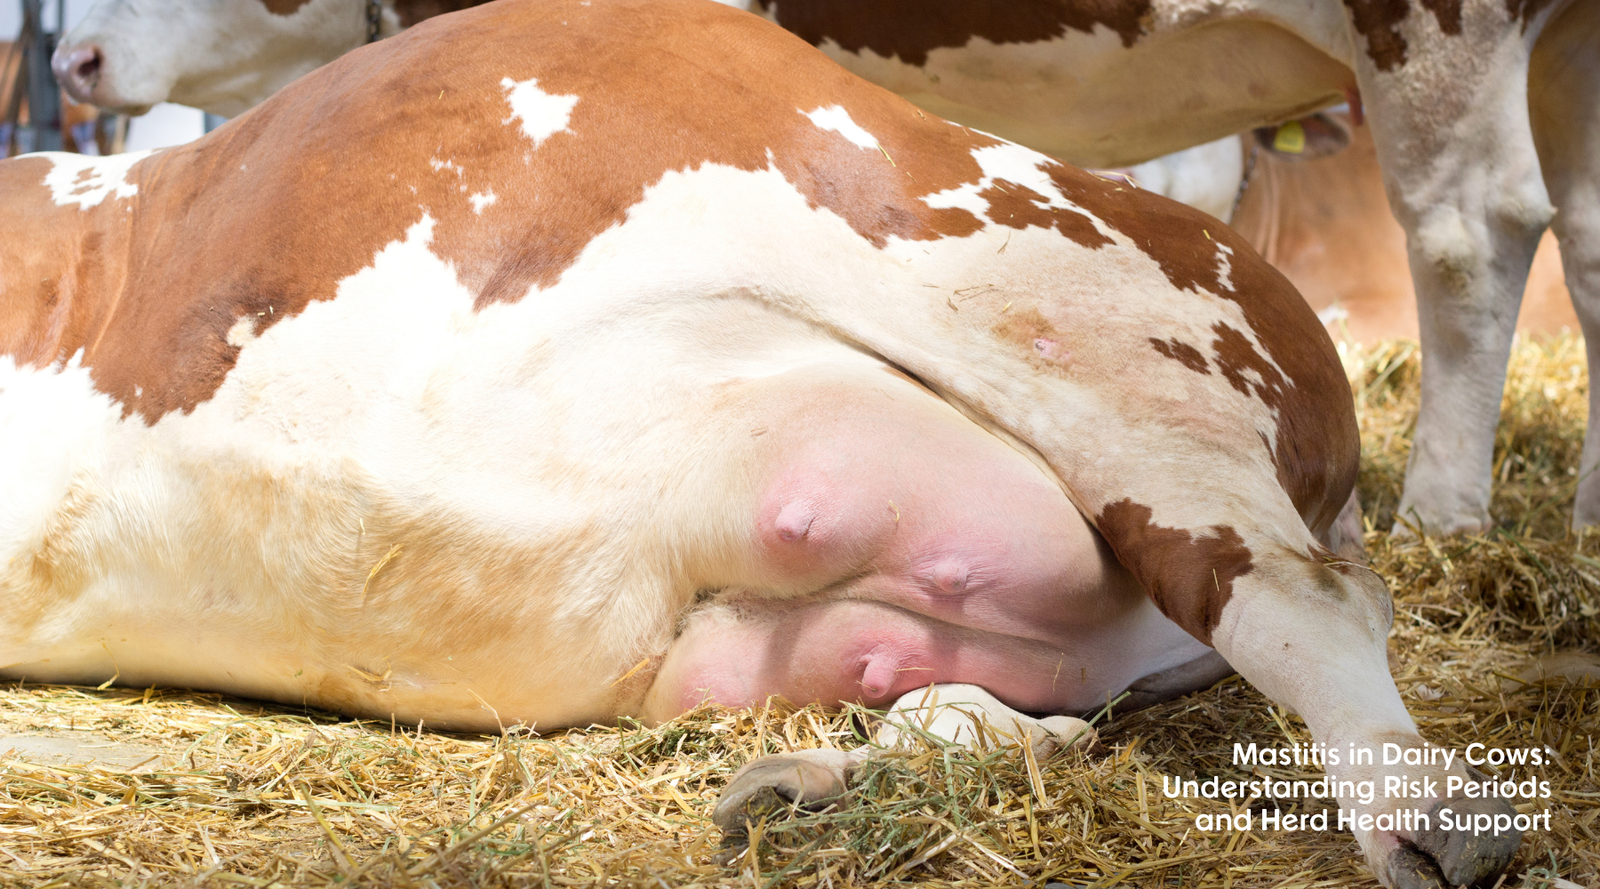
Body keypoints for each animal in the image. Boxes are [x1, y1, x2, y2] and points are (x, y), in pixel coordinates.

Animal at [5, 2, 1518, 887]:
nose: (73, 62)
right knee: (999, 713)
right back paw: (807, 786)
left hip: (1057, 304)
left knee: (1299, 601)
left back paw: (1437, 820)